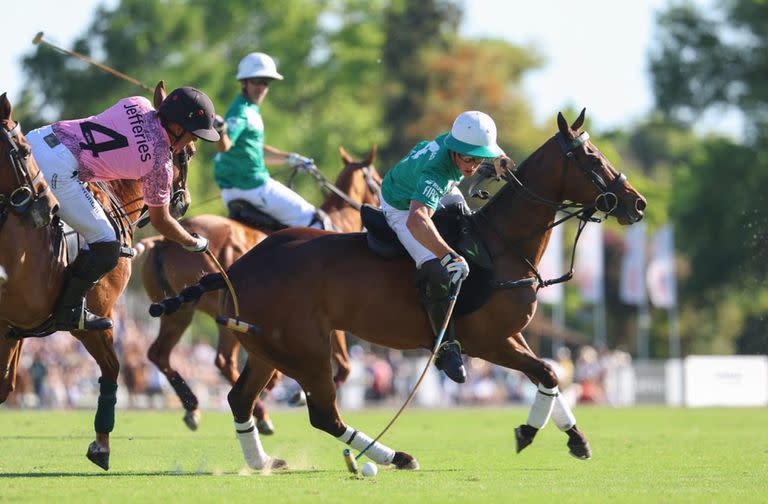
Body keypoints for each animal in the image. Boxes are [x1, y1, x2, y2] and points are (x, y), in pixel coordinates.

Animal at [0, 80, 190, 470]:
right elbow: (113, 369)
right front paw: (101, 445)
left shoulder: (13, 327)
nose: (184, 203)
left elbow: (4, 385)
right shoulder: (95, 319)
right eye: (190, 153)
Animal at [137, 147, 380, 434]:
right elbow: (344, 366)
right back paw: (260, 413)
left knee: (159, 353)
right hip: (226, 310)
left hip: (179, 312)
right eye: (377, 180)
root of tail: (163, 241)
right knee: (223, 361)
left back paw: (194, 407)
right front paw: (297, 394)